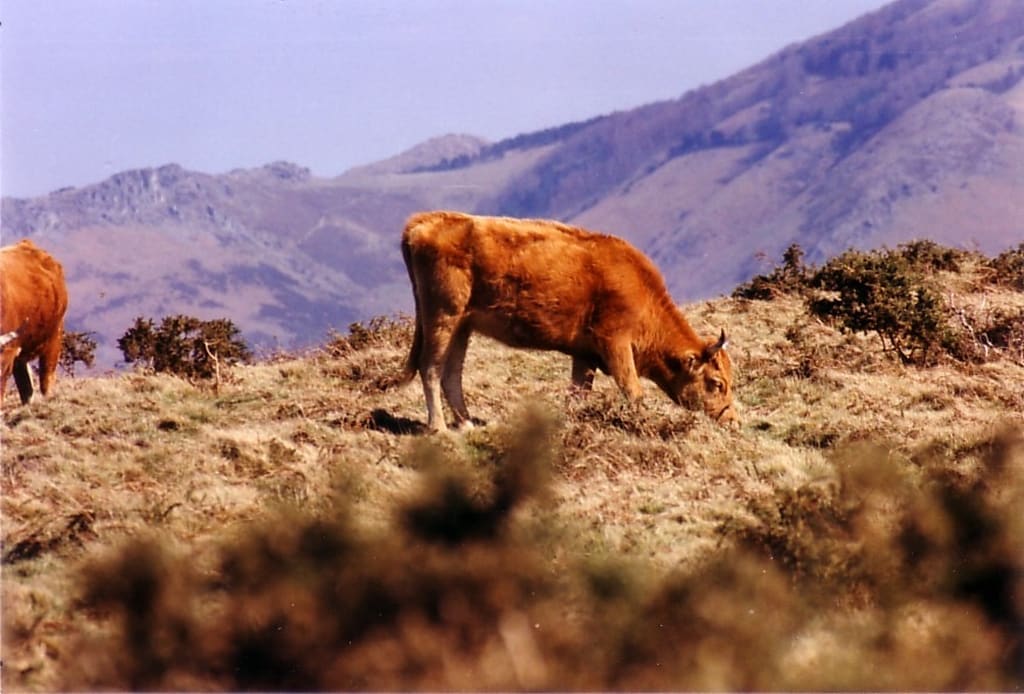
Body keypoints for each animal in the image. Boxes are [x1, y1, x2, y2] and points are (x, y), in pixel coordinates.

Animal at [400, 211, 737, 432]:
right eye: (716, 383)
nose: (731, 419)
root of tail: (424, 222)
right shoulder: (615, 344)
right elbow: (633, 390)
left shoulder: (585, 355)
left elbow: (577, 393)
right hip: (443, 316)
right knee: (431, 368)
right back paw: (438, 428)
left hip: (462, 326)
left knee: (451, 373)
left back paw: (467, 423)